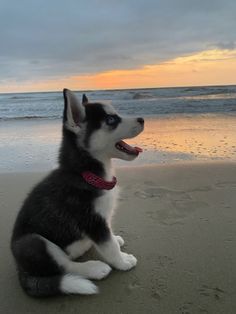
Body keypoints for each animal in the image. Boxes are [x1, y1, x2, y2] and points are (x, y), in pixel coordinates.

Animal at [10, 89, 144, 296]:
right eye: (111, 120)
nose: (143, 119)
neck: (86, 174)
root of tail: (20, 268)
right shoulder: (92, 220)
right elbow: (109, 246)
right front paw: (122, 261)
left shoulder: (102, 218)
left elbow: (109, 237)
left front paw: (115, 239)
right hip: (34, 242)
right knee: (64, 265)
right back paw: (94, 268)